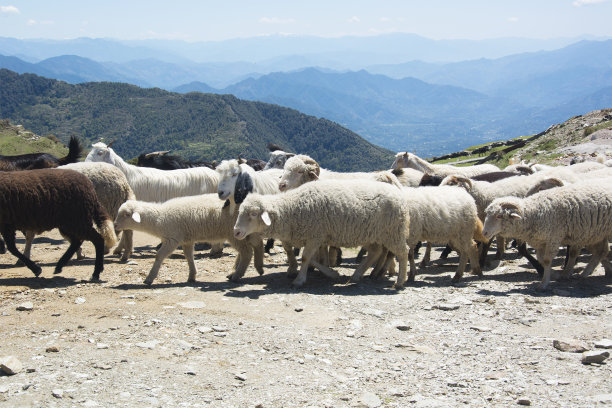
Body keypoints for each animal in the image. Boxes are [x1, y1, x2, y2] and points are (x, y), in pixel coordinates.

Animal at [116, 194, 264, 284]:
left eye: (126, 214)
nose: (115, 225)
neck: (159, 218)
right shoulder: (186, 240)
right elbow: (189, 257)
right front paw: (192, 275)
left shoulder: (172, 239)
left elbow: (159, 256)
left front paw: (149, 278)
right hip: (246, 233)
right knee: (256, 246)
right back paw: (254, 268)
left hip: (235, 233)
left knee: (246, 252)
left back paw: (237, 274)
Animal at [232, 180, 408, 288]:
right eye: (240, 212)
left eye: (253, 214)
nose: (236, 231)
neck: (292, 210)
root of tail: (399, 194)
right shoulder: (317, 237)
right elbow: (310, 259)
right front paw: (332, 273)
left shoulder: (315, 235)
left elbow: (305, 257)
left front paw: (299, 280)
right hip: (372, 234)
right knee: (375, 252)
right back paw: (356, 275)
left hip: (393, 232)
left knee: (403, 252)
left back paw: (400, 282)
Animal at [482, 180, 612, 288]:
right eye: (487, 214)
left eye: (499, 216)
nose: (484, 232)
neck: (534, 213)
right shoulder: (541, 242)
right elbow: (541, 259)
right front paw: (555, 275)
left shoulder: (553, 238)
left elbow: (547, 260)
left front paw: (544, 283)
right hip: (596, 233)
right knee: (601, 251)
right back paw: (590, 272)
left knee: (600, 251)